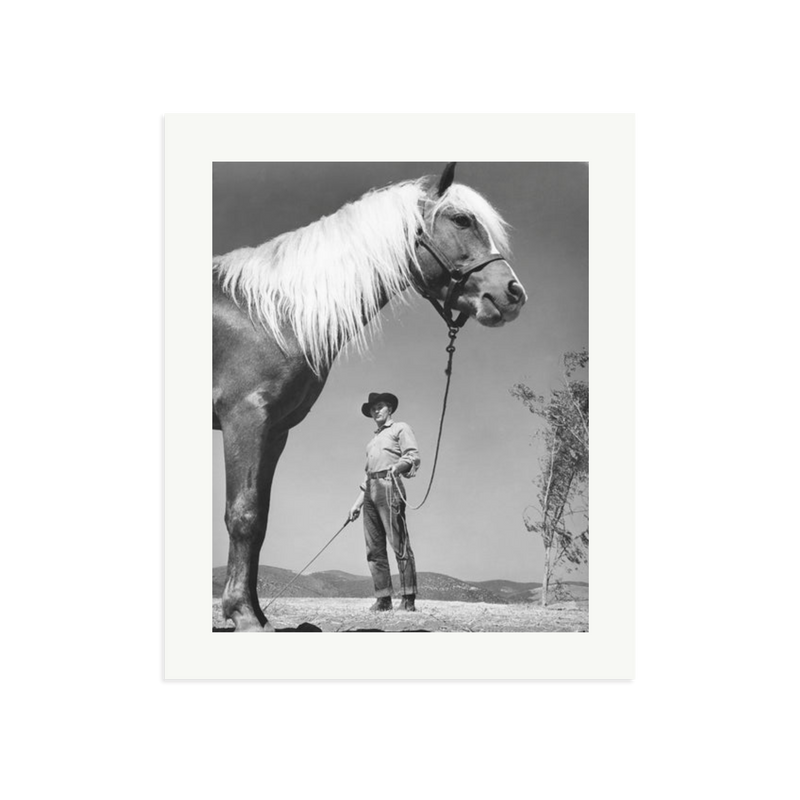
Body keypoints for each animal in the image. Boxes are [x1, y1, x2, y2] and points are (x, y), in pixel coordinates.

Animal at [212, 163, 527, 631]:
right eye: (461, 220)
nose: (513, 294)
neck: (266, 313)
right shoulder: (244, 418)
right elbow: (244, 515)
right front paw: (243, 615)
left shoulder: (275, 431)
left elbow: (262, 519)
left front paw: (256, 613)